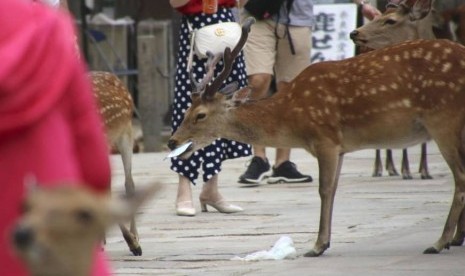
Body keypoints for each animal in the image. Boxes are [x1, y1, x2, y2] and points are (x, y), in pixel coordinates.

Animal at [350, 0, 436, 180]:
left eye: (391, 20)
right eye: (380, 17)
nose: (354, 33)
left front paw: (425, 171)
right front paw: (406, 171)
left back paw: (395, 167)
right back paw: (381, 168)